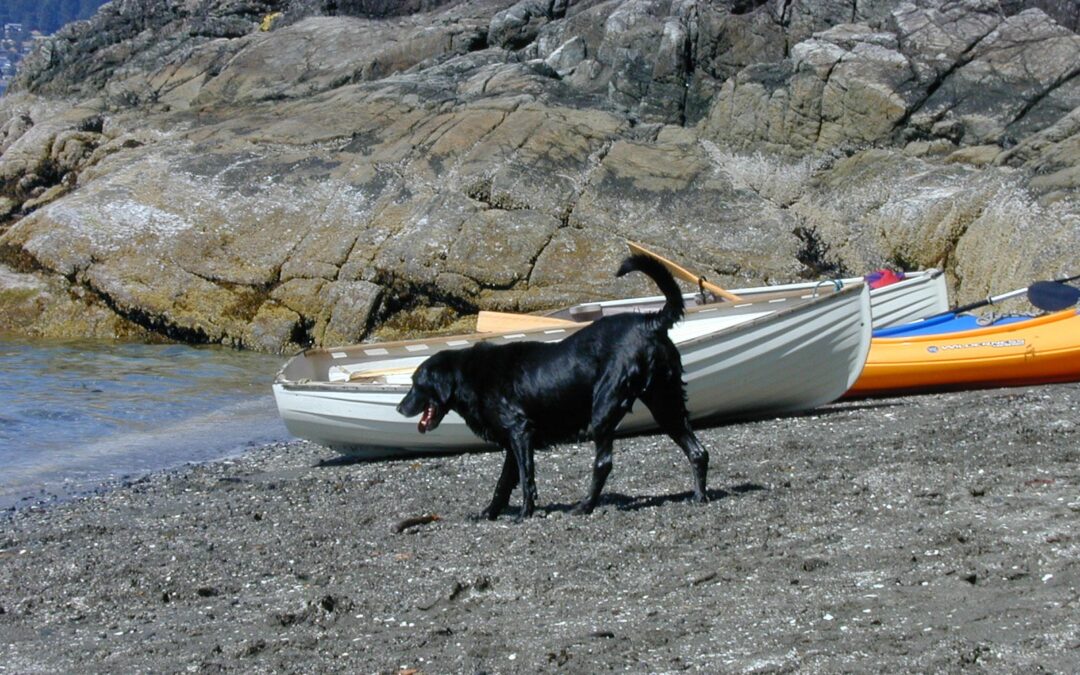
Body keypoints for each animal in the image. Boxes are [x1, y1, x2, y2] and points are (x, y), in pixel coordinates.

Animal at [397, 253, 708, 520]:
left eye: (415, 384)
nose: (400, 408)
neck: (467, 375)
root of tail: (649, 321)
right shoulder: (511, 441)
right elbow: (503, 483)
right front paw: (489, 513)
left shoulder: (520, 432)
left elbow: (526, 478)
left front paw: (525, 513)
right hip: (665, 402)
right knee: (698, 451)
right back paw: (700, 497)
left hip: (605, 408)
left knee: (603, 463)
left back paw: (585, 506)